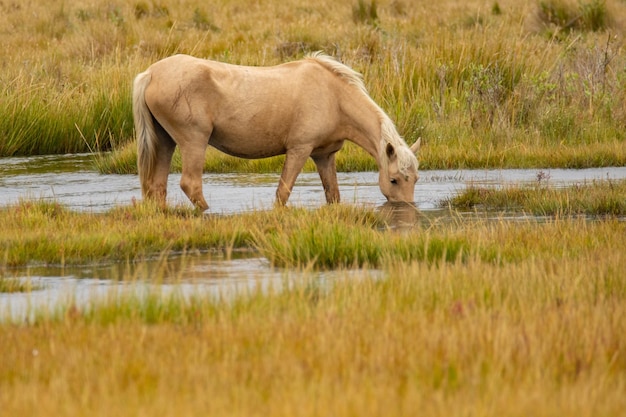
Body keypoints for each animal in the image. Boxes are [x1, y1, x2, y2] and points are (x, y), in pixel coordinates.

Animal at [132, 52, 420, 210]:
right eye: (394, 179)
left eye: (415, 179)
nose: (407, 208)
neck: (334, 96)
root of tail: (151, 73)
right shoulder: (299, 150)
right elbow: (283, 192)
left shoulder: (324, 155)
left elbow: (333, 194)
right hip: (194, 142)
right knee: (190, 184)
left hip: (165, 141)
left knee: (157, 185)